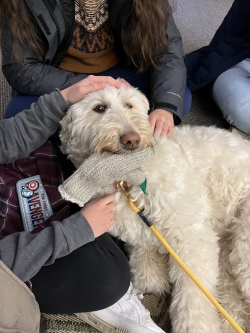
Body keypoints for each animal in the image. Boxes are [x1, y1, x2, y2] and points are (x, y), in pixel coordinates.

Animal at [60, 83, 250, 332]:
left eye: (129, 105)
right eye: (99, 108)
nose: (131, 139)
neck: (127, 183)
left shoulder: (192, 237)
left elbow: (193, 296)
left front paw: (195, 326)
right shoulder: (139, 232)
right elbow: (145, 263)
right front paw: (151, 276)